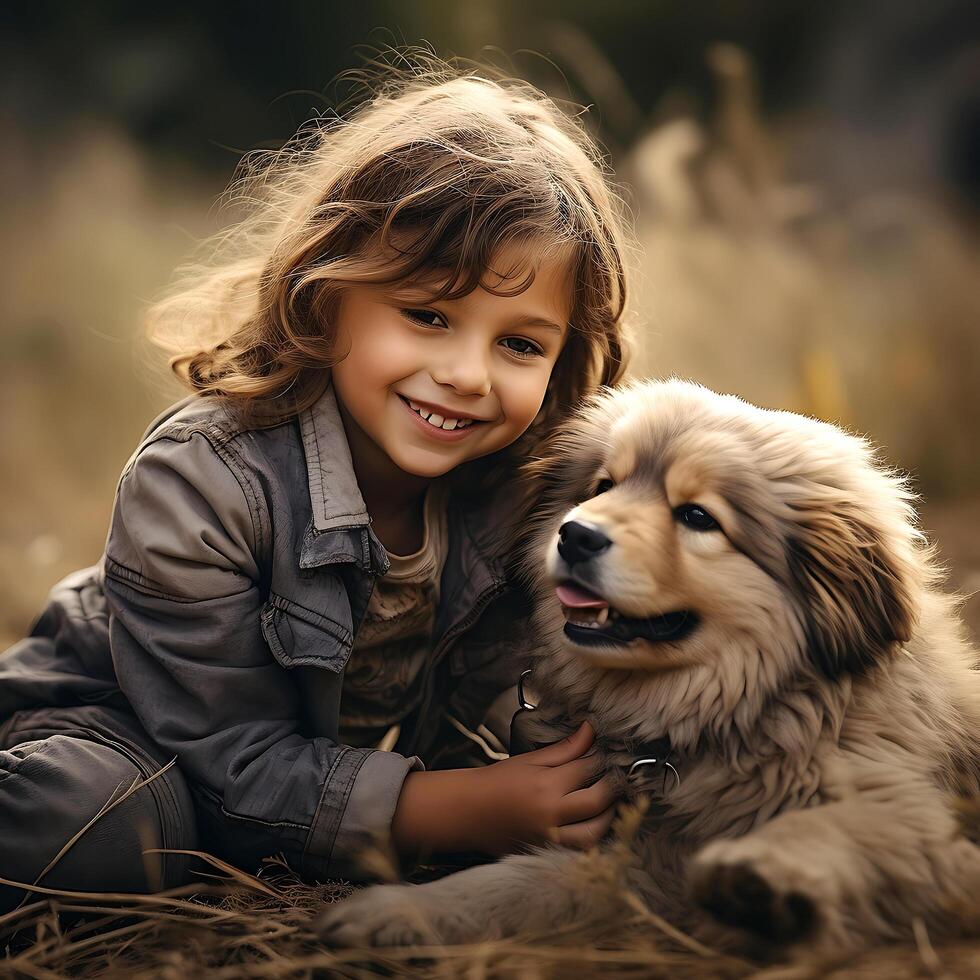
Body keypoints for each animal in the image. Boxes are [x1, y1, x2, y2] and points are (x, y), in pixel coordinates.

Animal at [314, 380, 980, 956]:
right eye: (602, 486)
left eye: (698, 517)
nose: (576, 535)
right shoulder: (640, 863)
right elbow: (523, 881)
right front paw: (401, 910)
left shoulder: (910, 815)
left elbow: (842, 826)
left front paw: (756, 880)